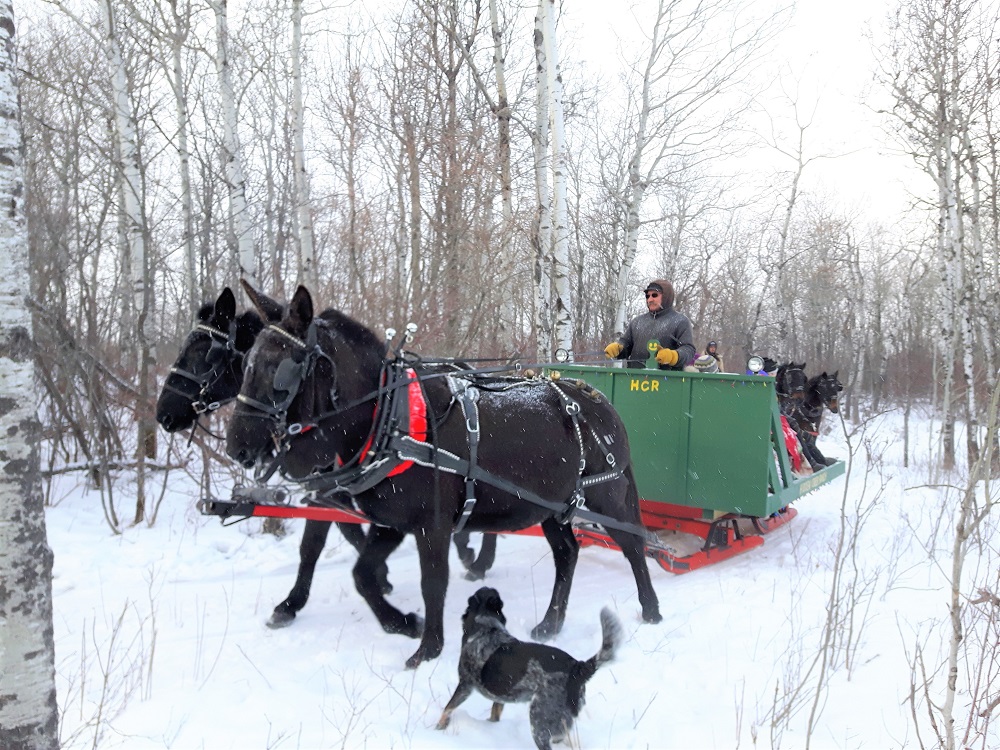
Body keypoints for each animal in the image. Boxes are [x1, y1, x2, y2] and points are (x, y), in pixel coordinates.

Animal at [229, 286, 664, 668]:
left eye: (280, 369)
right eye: (245, 364)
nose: (237, 446)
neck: (390, 417)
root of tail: (597, 398)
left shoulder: (430, 523)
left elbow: (432, 582)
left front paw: (428, 648)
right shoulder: (391, 521)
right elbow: (361, 574)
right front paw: (401, 622)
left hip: (606, 494)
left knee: (632, 544)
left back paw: (651, 609)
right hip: (552, 504)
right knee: (567, 553)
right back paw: (550, 623)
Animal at [440, 588, 624, 750]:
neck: (487, 629)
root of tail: (578, 667)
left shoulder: (465, 685)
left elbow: (447, 708)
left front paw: (438, 729)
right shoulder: (499, 697)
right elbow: (494, 713)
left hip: (539, 723)